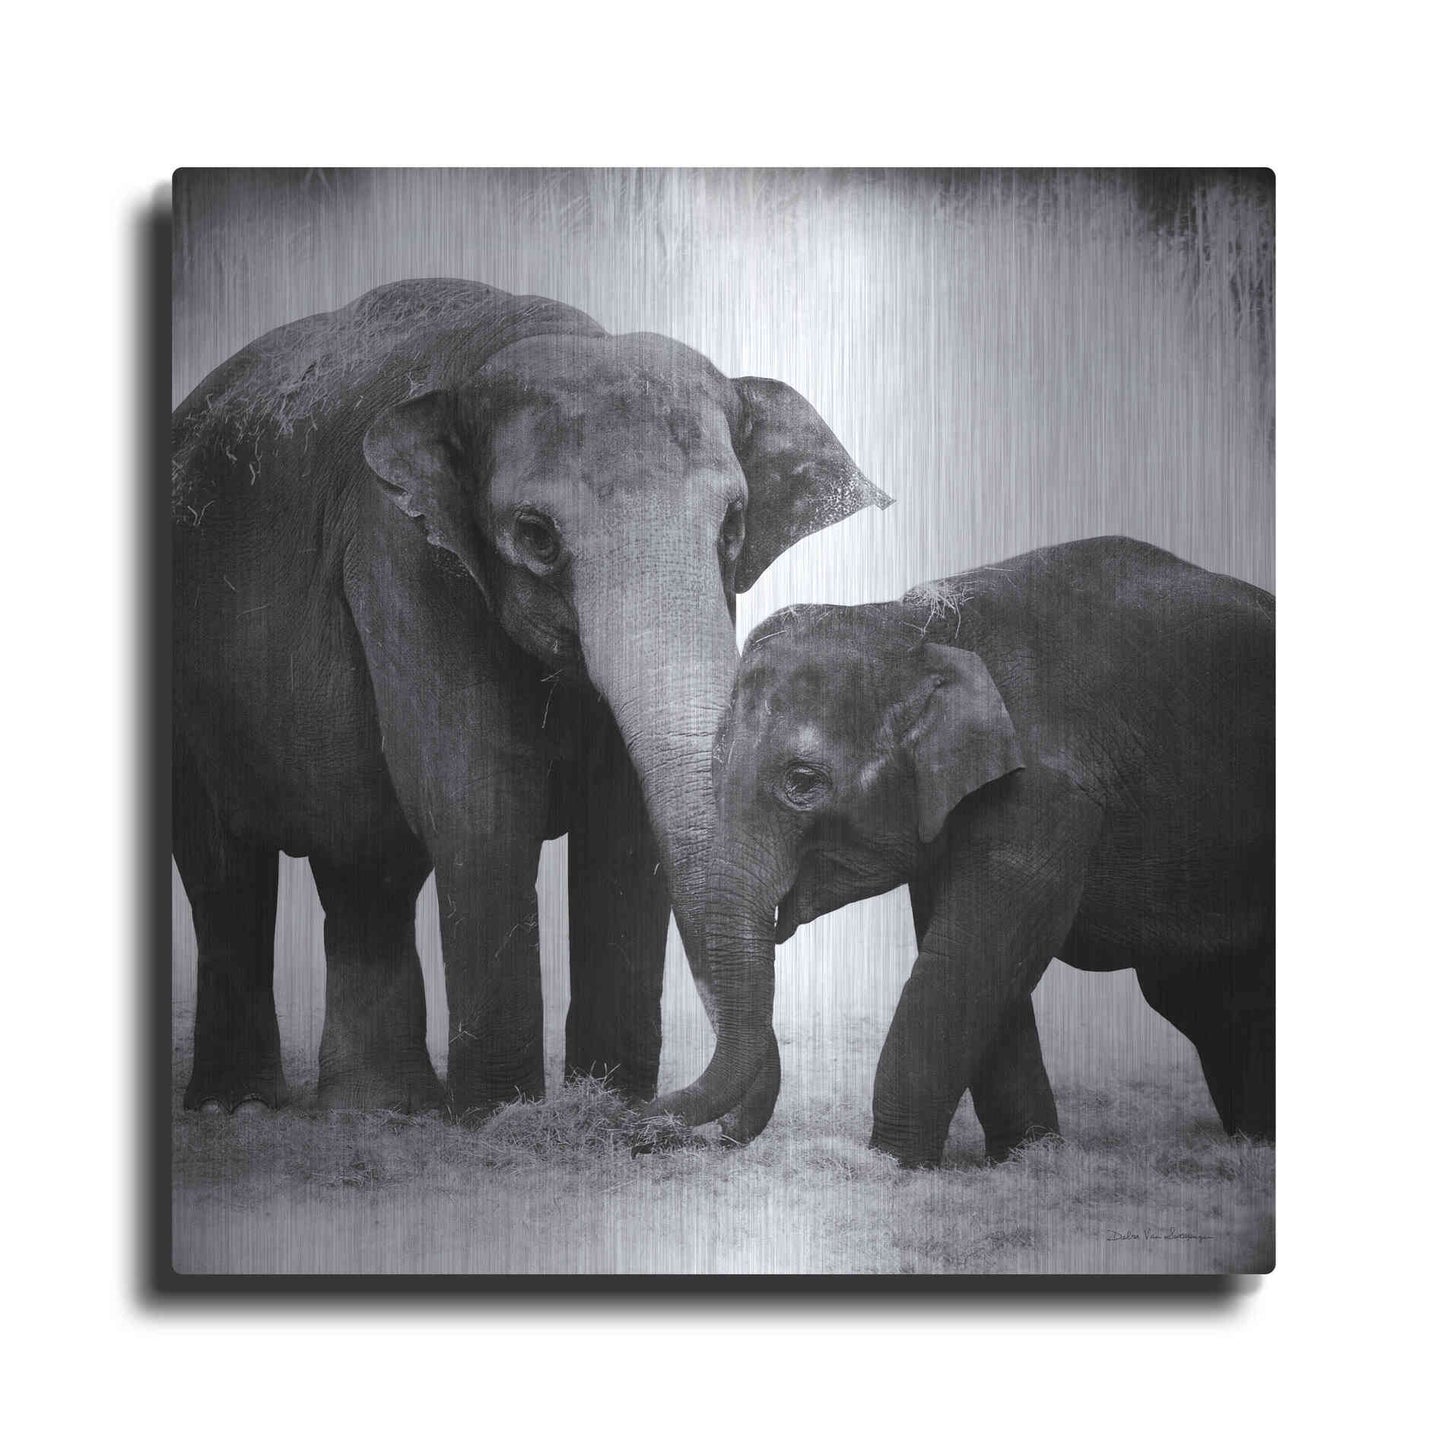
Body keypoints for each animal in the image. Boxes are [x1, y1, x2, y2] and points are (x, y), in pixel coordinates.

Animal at [171, 278, 889, 1123]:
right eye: (536, 534)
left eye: (734, 524)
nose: (659, 1117)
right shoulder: (403, 555)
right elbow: (477, 801)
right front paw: (500, 1119)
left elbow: (626, 824)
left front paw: (603, 1104)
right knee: (224, 870)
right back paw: (240, 1108)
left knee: (364, 866)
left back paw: (379, 1111)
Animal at [653, 537, 1274, 1167]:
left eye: (803, 782)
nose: (650, 1126)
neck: (922, 628)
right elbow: (974, 957)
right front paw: (1023, 1160)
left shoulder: (1045, 792)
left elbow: (969, 954)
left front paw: (891, 1165)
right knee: (1206, 1002)